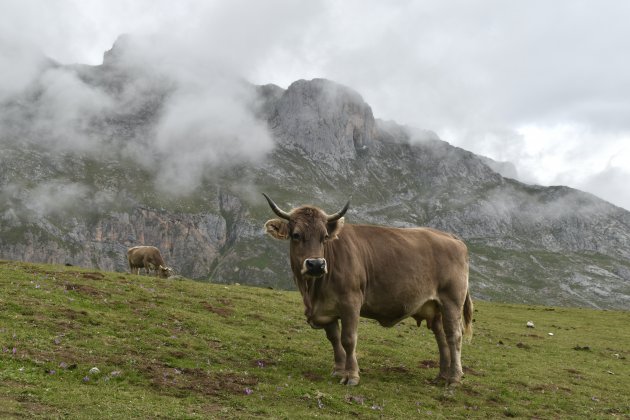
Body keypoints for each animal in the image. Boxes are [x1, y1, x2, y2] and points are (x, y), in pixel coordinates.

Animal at [262, 193, 474, 384]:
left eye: (324, 236)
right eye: (296, 235)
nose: (316, 264)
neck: (313, 292)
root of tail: (449, 236)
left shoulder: (351, 301)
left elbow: (348, 339)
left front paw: (351, 375)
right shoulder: (327, 309)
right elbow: (334, 338)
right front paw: (339, 370)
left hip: (452, 301)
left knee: (454, 336)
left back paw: (454, 378)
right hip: (435, 307)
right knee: (441, 337)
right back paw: (442, 376)